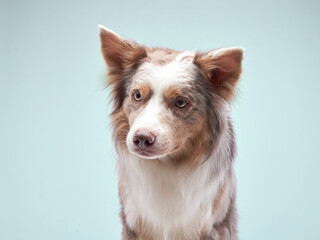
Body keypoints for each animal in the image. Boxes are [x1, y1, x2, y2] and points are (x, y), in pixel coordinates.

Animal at [99, 24, 244, 240]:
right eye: (137, 95)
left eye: (181, 102)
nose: (141, 138)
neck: (169, 165)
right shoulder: (135, 222)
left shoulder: (213, 222)